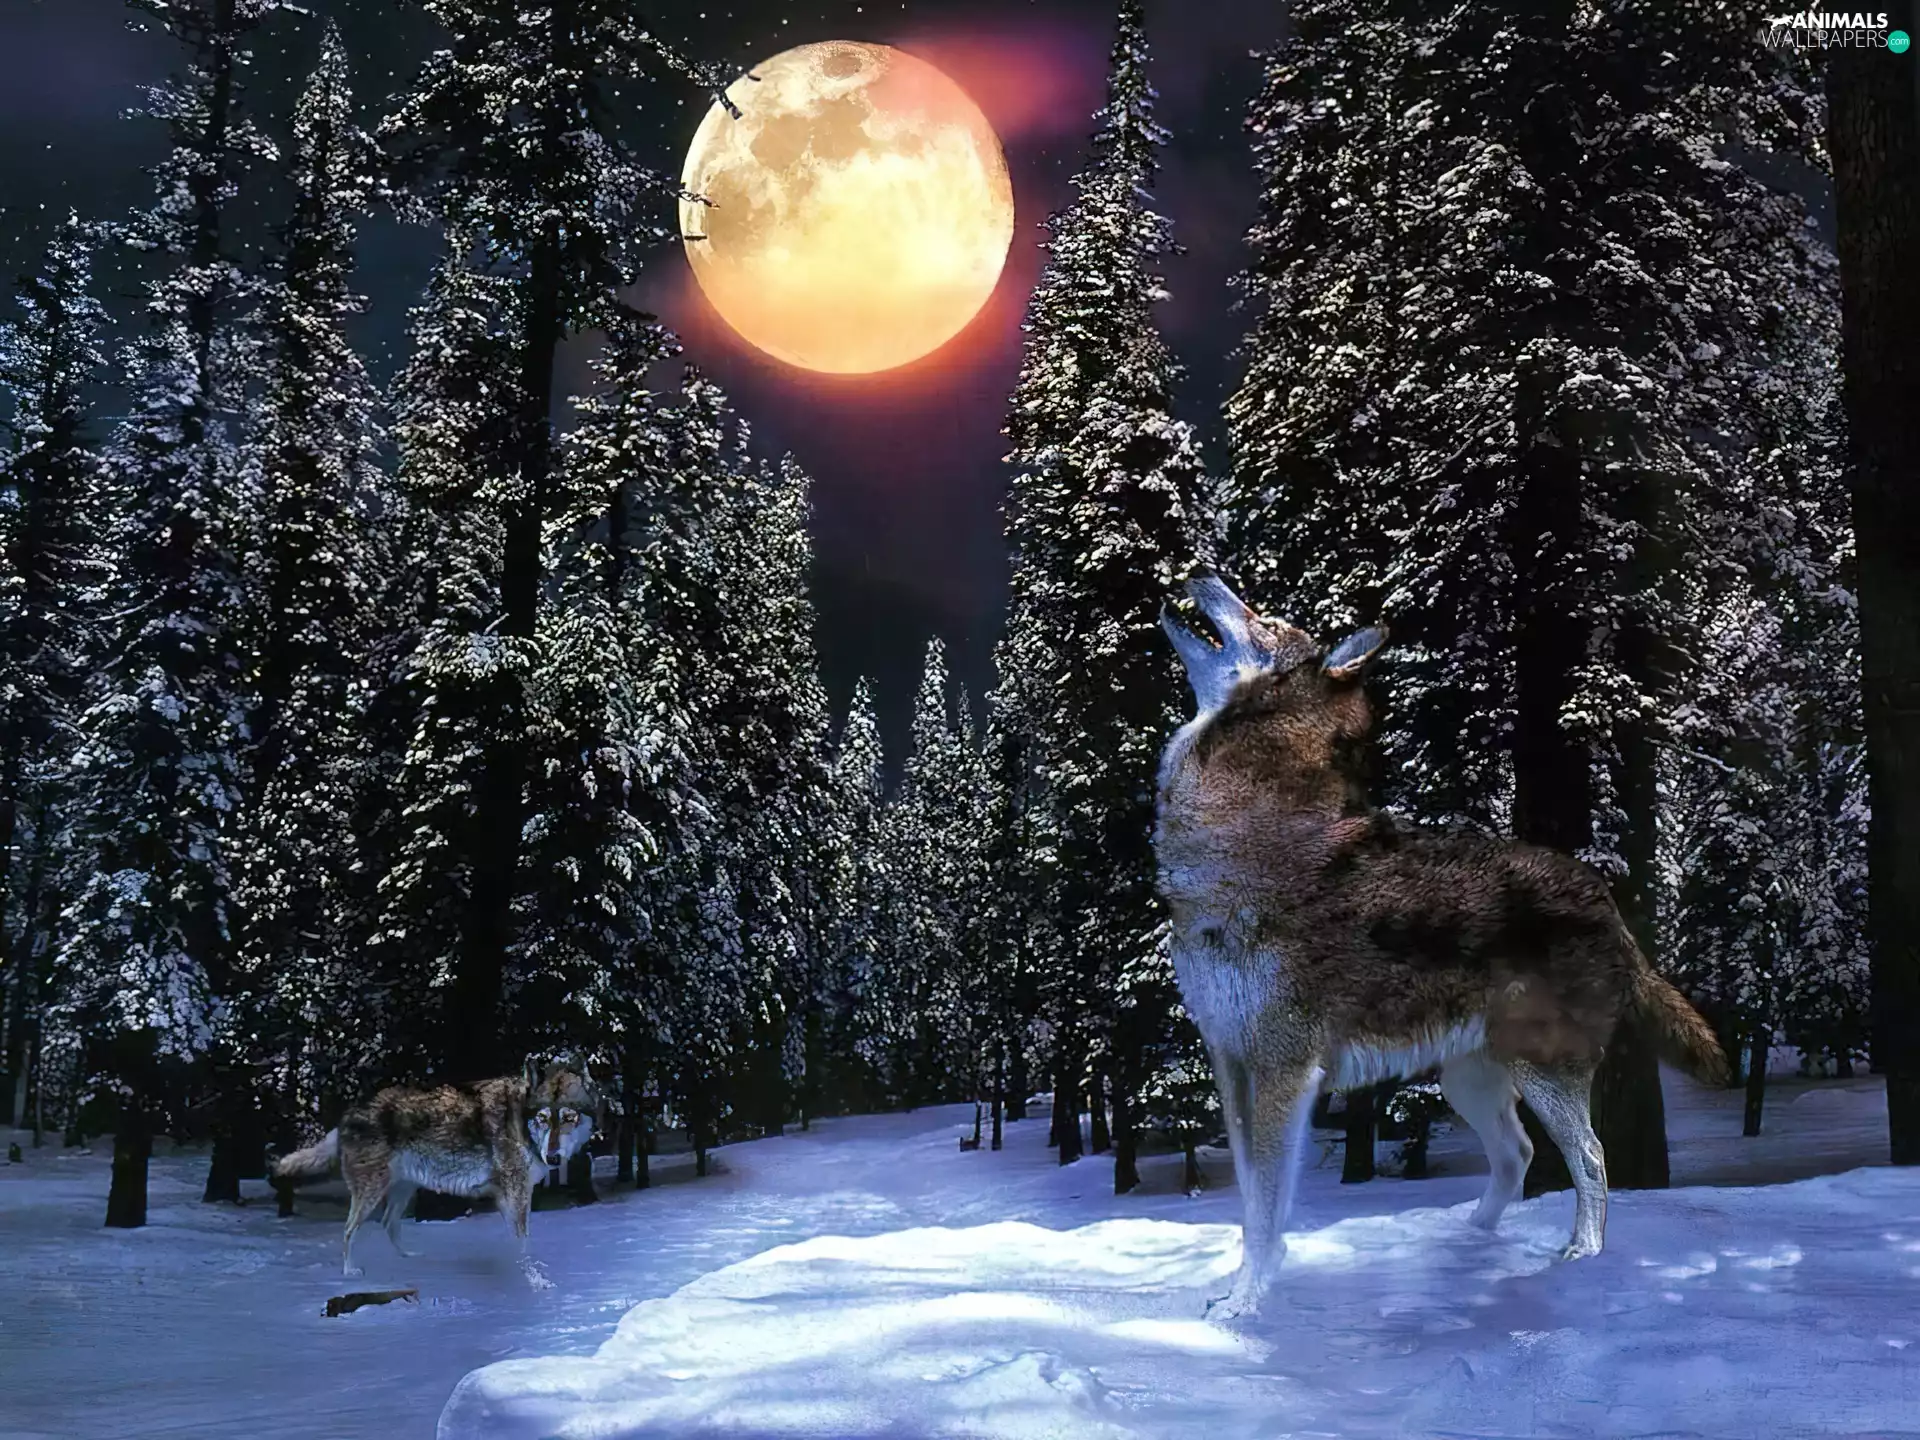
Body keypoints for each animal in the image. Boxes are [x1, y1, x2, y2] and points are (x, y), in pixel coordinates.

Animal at [272, 1059, 597, 1282]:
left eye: (568, 1117)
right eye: (542, 1118)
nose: (553, 1157)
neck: (519, 1122)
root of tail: (345, 1117)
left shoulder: (515, 1196)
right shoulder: (515, 1195)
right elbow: (523, 1243)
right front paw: (533, 1278)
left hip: (403, 1190)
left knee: (388, 1224)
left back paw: (411, 1259)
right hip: (372, 1193)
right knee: (349, 1230)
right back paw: (350, 1272)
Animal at [1155, 575, 1728, 1320]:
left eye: (1266, 617)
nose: (1199, 577)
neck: (1242, 831)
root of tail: (1606, 900)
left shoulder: (1284, 1072)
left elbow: (1264, 1210)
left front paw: (1245, 1307)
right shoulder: (1232, 1066)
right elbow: (1252, 1199)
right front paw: (1241, 1289)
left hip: (1540, 1075)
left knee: (1592, 1157)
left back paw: (1581, 1257)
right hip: (1469, 1080)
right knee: (1516, 1155)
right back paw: (1462, 1244)